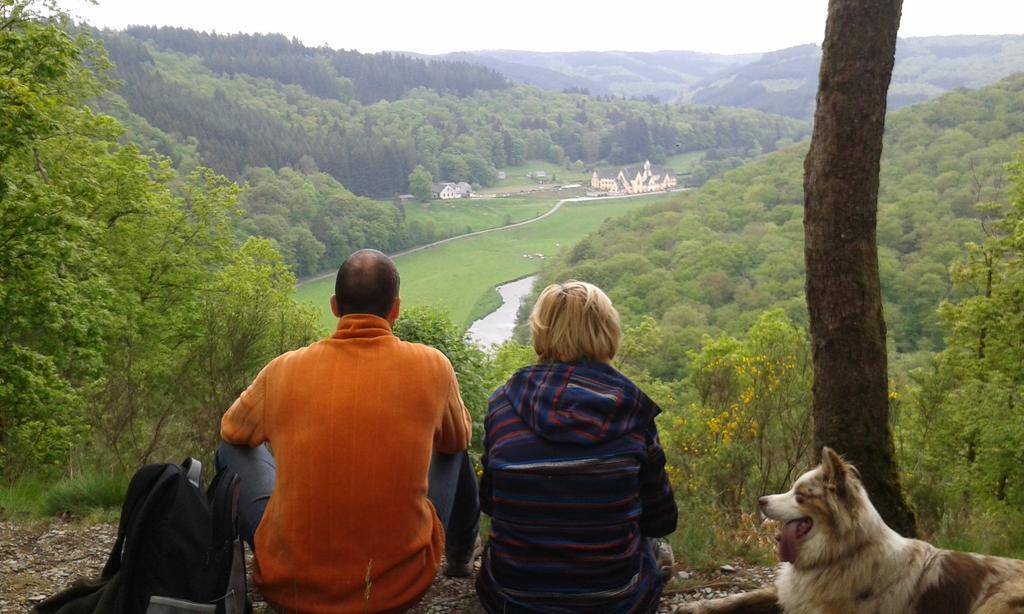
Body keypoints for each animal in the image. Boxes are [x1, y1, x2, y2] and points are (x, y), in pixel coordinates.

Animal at [675, 446, 1024, 614]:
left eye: (800, 495)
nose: (761, 500)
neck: (837, 556)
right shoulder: (792, 591)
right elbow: (746, 596)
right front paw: (697, 606)